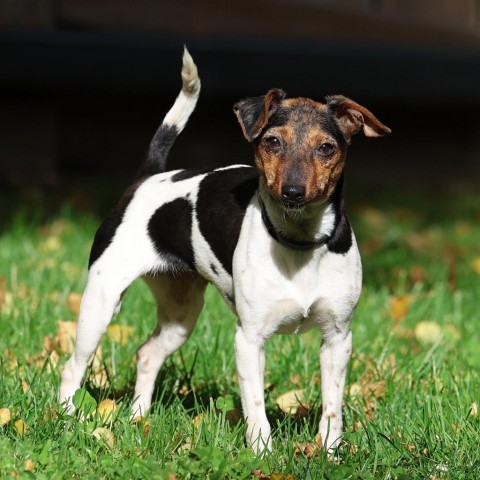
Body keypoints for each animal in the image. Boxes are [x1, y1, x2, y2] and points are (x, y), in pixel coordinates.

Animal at [59, 47, 390, 452]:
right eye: (272, 142)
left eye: (326, 147)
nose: (293, 192)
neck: (300, 241)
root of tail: (148, 177)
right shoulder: (248, 339)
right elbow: (256, 406)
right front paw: (262, 452)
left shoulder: (338, 339)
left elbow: (332, 407)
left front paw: (329, 452)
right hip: (101, 303)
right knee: (73, 366)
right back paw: (69, 418)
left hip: (181, 314)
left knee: (147, 355)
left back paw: (138, 417)